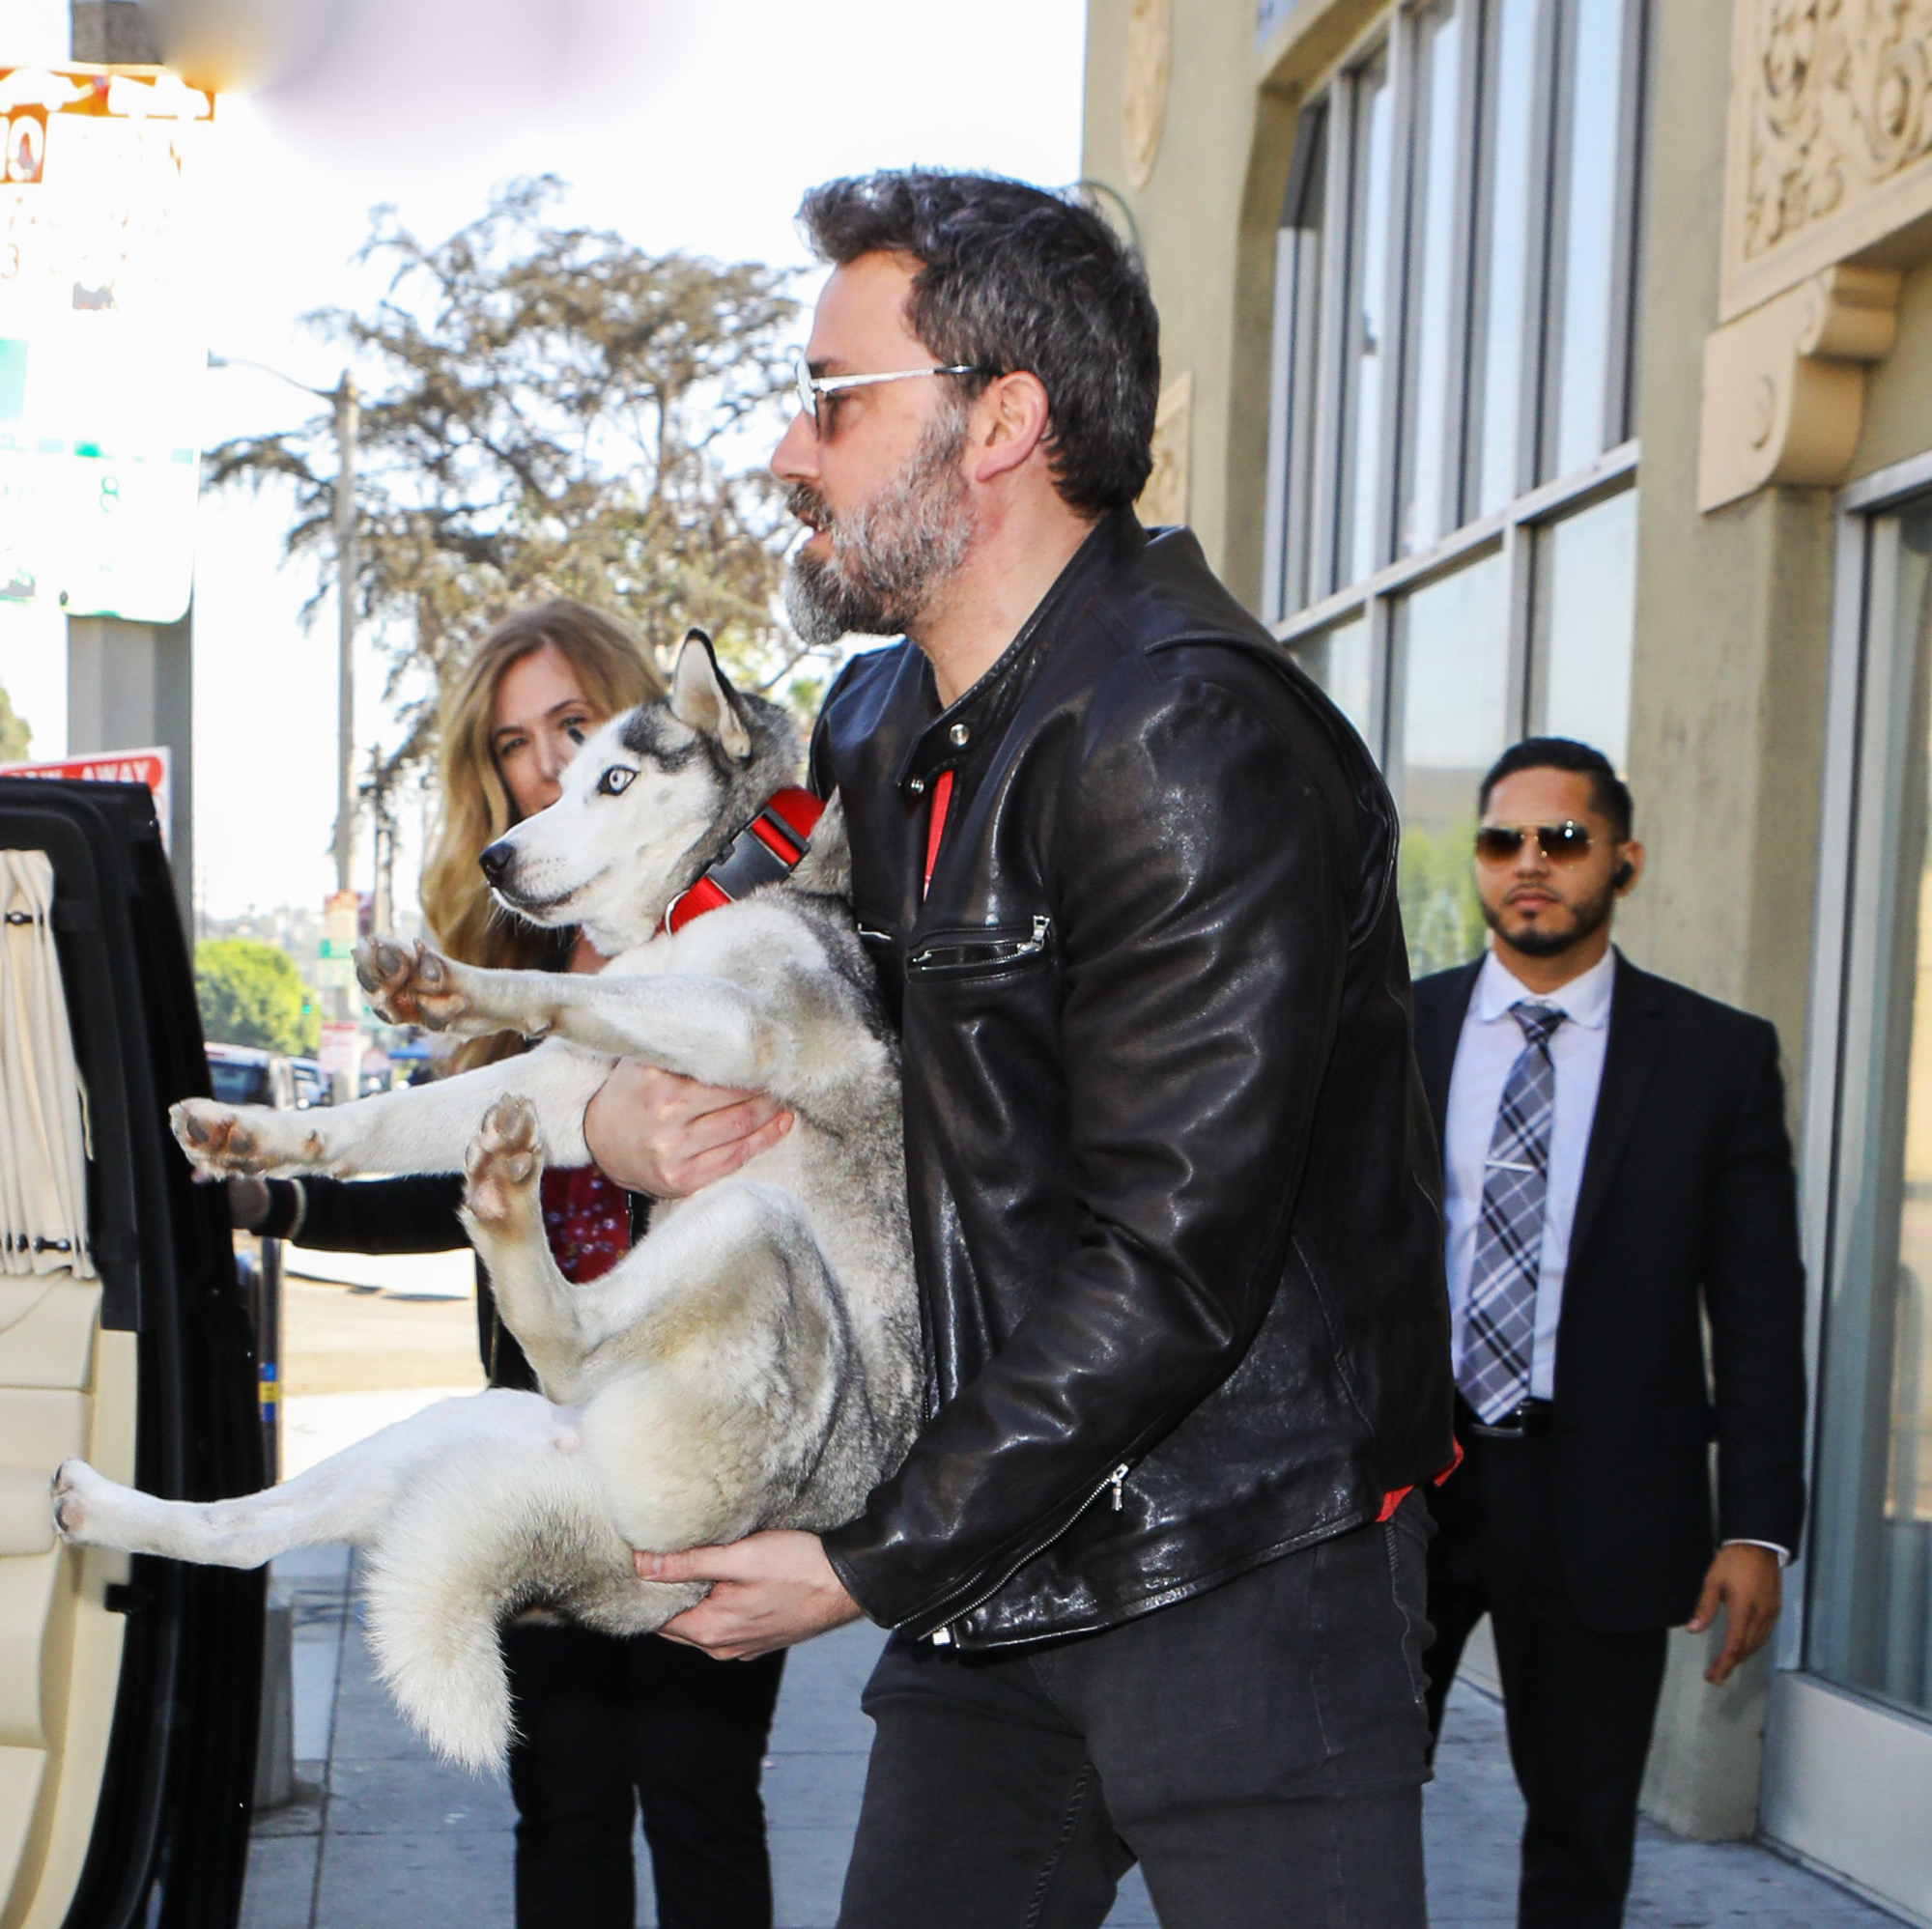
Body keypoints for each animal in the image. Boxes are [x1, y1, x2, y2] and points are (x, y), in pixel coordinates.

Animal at [48, 641, 916, 1770]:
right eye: (560, 769)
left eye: (614, 779)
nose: (498, 858)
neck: (734, 878)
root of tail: (627, 1570)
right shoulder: (575, 1084)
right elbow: (386, 1116)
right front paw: (257, 1136)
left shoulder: (743, 1026)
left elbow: (570, 989)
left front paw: (451, 986)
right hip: (458, 1433)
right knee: (246, 1536)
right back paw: (110, 1506)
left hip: (756, 1235)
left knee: (573, 1341)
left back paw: (506, 1203)